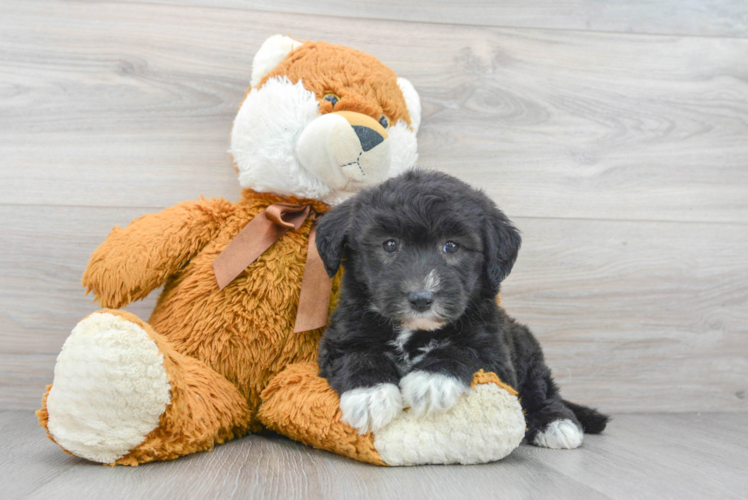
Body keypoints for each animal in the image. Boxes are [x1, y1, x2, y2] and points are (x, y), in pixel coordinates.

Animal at [318, 170, 608, 448]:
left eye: (451, 246)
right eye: (390, 244)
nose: (421, 298)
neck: (414, 330)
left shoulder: (495, 353)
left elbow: (463, 349)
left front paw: (431, 382)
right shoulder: (342, 337)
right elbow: (358, 356)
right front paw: (370, 396)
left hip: (529, 355)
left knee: (543, 393)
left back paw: (556, 424)